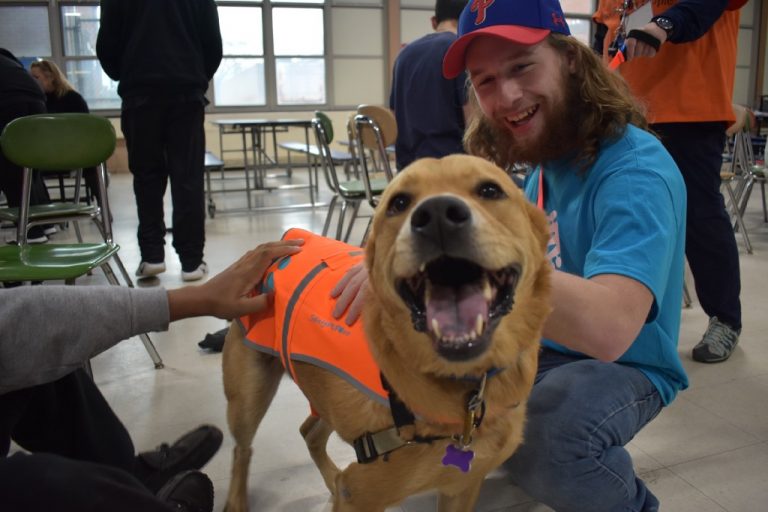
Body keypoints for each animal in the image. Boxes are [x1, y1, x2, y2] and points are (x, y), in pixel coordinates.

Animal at [222, 155, 552, 512]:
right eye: (399, 203)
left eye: (490, 190)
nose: (437, 214)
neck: (469, 391)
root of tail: (291, 237)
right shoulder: (360, 494)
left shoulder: (461, 487)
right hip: (249, 395)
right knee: (242, 450)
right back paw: (237, 501)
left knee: (309, 432)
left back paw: (330, 479)